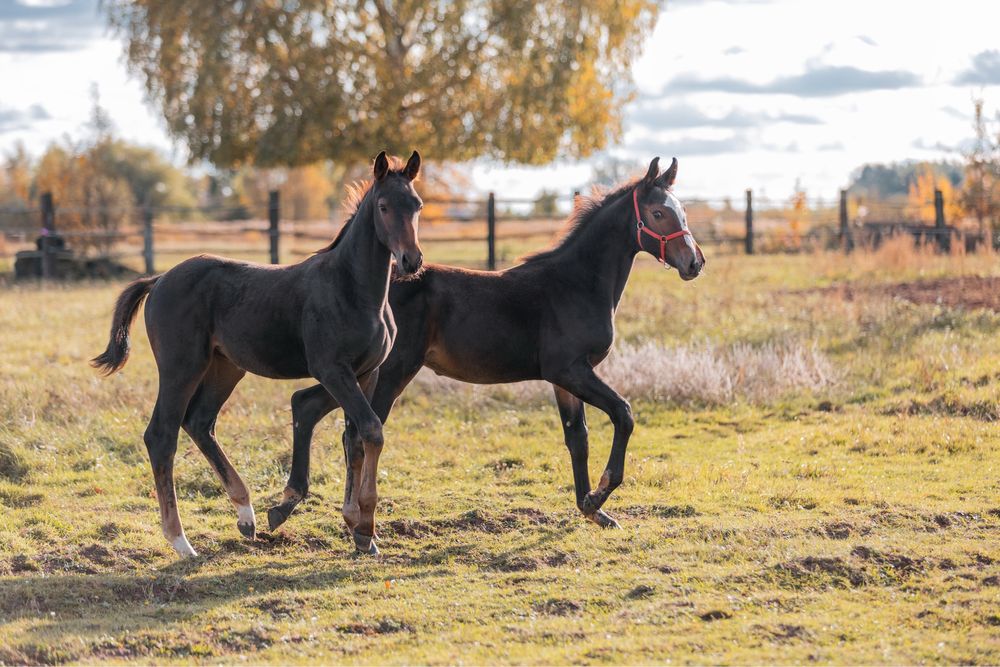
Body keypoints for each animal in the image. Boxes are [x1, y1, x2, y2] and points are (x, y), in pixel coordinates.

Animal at [92, 150, 424, 557]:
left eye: (417, 205)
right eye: (383, 206)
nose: (411, 261)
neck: (353, 289)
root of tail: (158, 280)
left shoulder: (367, 372)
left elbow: (356, 438)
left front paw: (361, 532)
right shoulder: (332, 370)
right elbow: (372, 430)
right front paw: (364, 527)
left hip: (225, 368)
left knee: (199, 422)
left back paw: (245, 514)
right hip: (181, 367)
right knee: (161, 434)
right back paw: (181, 542)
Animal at [266, 156, 705, 543]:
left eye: (681, 211)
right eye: (658, 213)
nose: (694, 263)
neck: (576, 284)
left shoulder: (565, 379)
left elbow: (576, 438)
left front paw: (591, 509)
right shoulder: (571, 370)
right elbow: (623, 414)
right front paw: (600, 494)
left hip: (361, 371)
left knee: (318, 412)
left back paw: (302, 510)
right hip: (389, 371)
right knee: (357, 431)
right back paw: (356, 525)